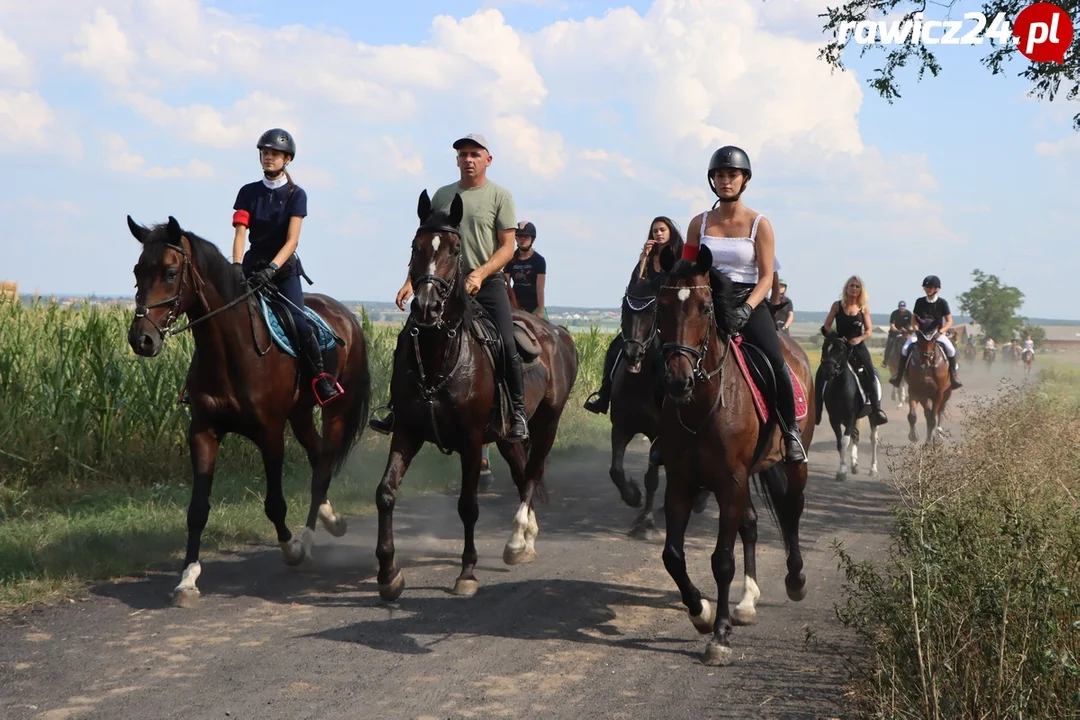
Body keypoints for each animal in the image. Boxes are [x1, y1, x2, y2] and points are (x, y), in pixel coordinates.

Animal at [124, 215, 371, 608]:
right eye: (137, 270)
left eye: (170, 272)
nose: (142, 339)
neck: (230, 349)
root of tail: (346, 314)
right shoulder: (204, 432)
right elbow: (197, 510)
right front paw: (187, 578)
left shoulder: (270, 434)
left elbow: (274, 504)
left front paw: (291, 550)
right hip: (301, 414)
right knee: (318, 454)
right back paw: (332, 518)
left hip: (336, 410)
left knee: (323, 465)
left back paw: (309, 538)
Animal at [371, 191, 578, 604]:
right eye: (416, 247)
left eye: (454, 250)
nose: (426, 306)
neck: (439, 356)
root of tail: (558, 334)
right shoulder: (407, 432)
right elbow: (385, 493)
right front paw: (389, 574)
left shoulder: (469, 441)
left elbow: (468, 506)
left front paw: (467, 573)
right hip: (507, 437)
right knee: (521, 472)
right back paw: (526, 540)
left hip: (546, 424)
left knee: (532, 475)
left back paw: (516, 542)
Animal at [643, 245, 812, 669]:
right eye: (662, 307)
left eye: (705, 308)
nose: (678, 380)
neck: (704, 404)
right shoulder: (683, 483)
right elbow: (672, 555)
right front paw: (700, 612)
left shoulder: (730, 482)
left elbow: (722, 560)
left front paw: (719, 636)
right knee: (751, 522)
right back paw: (748, 601)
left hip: (790, 465)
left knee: (791, 511)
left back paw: (795, 580)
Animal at [812, 330, 881, 481]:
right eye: (824, 348)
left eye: (841, 351)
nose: (829, 371)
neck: (841, 387)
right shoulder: (835, 419)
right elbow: (840, 442)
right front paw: (843, 468)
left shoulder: (850, 417)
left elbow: (844, 441)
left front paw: (842, 472)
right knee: (856, 435)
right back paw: (855, 464)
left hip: (872, 415)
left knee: (873, 439)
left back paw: (873, 469)